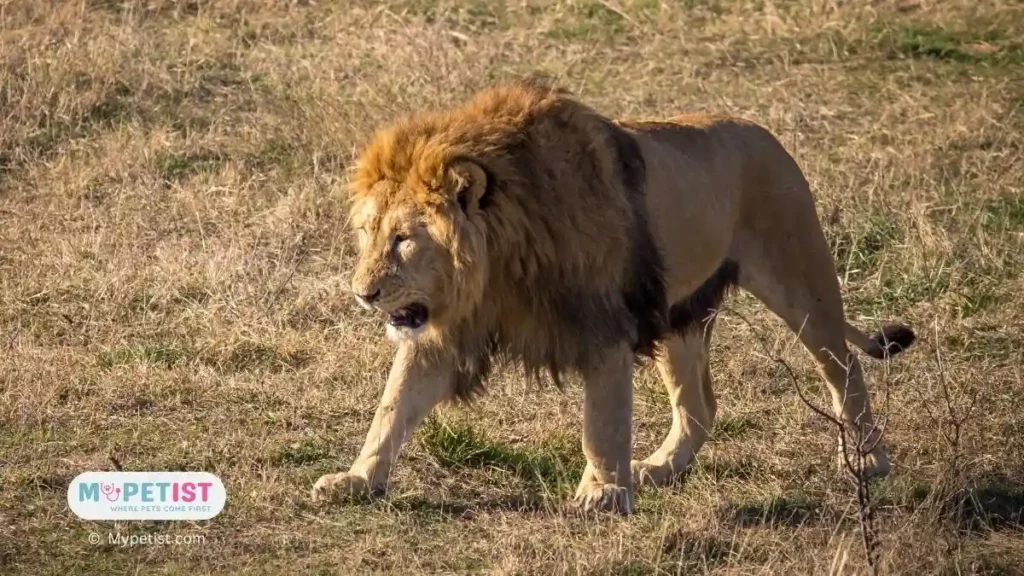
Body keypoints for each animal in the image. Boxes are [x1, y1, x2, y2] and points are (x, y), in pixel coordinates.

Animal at [313, 79, 921, 510]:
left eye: (403, 239)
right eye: (367, 232)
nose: (362, 294)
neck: (497, 268)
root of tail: (762, 131)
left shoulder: (603, 323)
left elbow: (602, 420)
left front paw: (602, 492)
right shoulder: (444, 331)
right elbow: (392, 406)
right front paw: (357, 479)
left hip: (801, 282)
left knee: (843, 369)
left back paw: (868, 459)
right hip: (677, 314)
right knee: (701, 406)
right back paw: (661, 468)